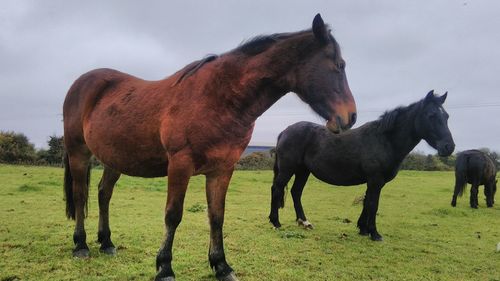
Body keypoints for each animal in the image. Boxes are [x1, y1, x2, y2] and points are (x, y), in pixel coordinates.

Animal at [62, 14, 358, 280]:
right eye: (339, 64)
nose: (351, 117)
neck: (217, 98)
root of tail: (81, 83)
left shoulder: (222, 169)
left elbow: (216, 216)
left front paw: (221, 266)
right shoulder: (180, 165)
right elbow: (173, 215)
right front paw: (164, 268)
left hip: (115, 159)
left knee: (103, 194)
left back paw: (107, 243)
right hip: (79, 153)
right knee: (80, 195)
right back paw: (81, 245)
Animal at [268, 91, 456, 240]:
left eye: (446, 116)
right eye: (431, 115)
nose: (449, 147)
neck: (385, 140)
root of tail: (285, 131)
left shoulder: (374, 182)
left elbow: (367, 203)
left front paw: (363, 229)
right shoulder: (375, 180)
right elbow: (373, 204)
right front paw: (375, 234)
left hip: (303, 171)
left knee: (296, 192)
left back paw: (304, 222)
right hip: (288, 169)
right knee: (277, 189)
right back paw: (275, 222)